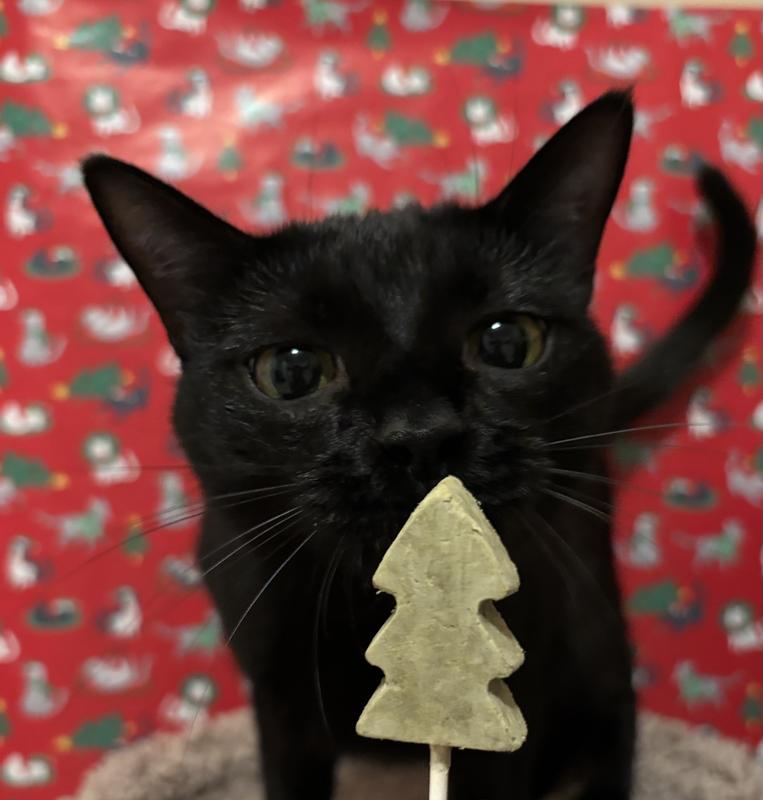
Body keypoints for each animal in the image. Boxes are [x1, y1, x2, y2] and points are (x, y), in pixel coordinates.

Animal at [82, 90, 756, 800]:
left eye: (508, 343)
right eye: (290, 371)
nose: (421, 434)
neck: (360, 604)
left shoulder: (526, 693)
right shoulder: (279, 703)